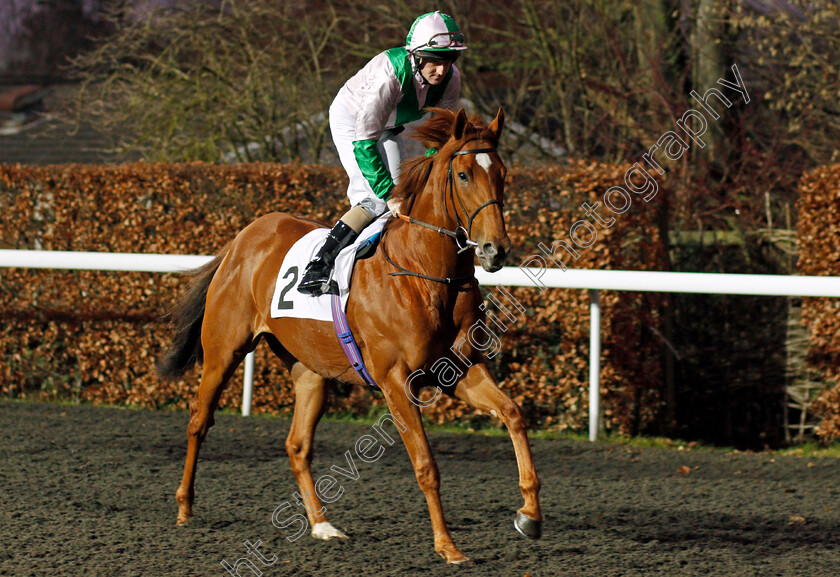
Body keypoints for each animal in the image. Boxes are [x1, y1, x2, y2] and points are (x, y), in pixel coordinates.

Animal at [160, 106, 540, 560]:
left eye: (502, 172)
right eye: (464, 174)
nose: (495, 249)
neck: (426, 273)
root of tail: (242, 239)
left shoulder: (459, 369)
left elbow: (513, 413)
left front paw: (529, 514)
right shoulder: (396, 380)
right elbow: (426, 464)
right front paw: (448, 546)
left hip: (310, 368)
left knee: (297, 444)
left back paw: (322, 525)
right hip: (224, 351)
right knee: (199, 422)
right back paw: (184, 508)